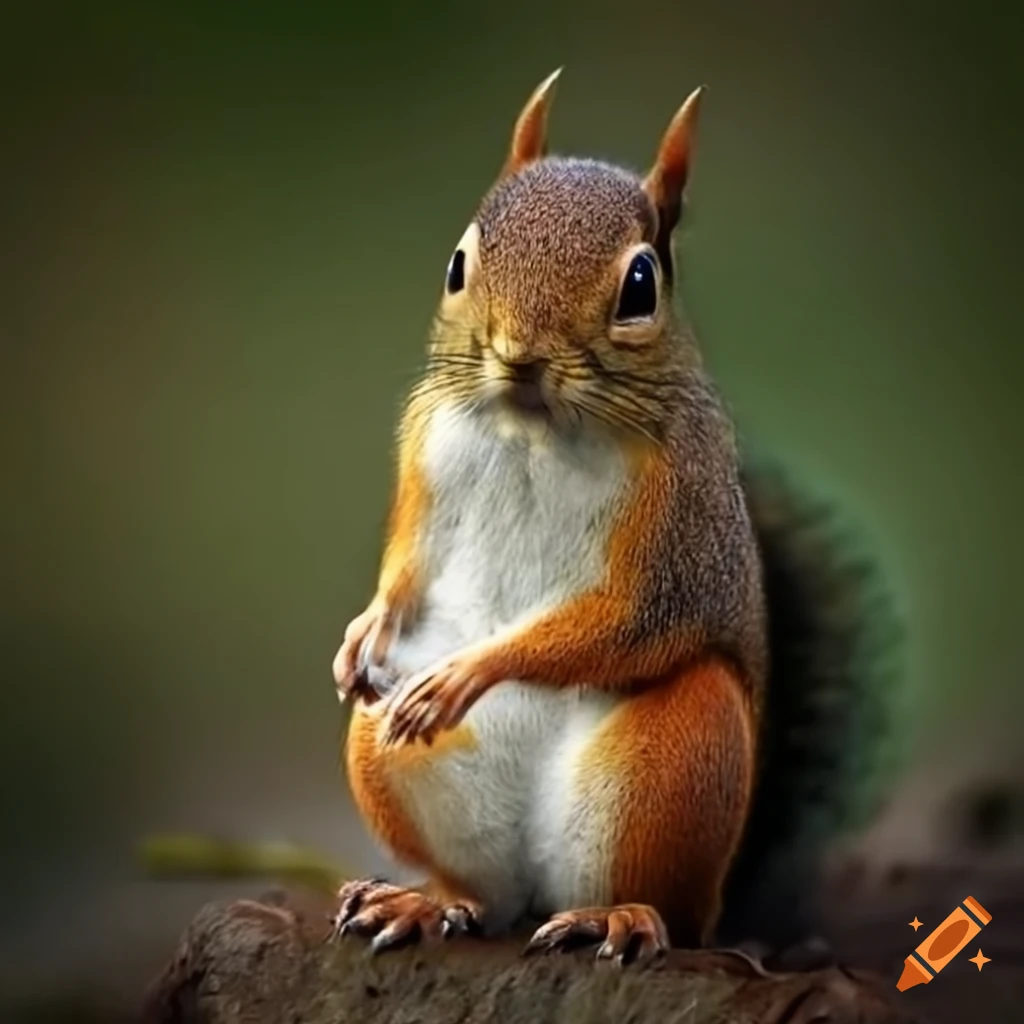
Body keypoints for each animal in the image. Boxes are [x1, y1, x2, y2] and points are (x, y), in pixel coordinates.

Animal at [330, 70, 899, 963]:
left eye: (641, 286)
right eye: (458, 265)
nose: (519, 355)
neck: (533, 429)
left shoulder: (679, 517)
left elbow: (631, 616)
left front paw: (468, 672)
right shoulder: (429, 451)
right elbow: (409, 568)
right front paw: (364, 631)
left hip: (681, 760)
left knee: (657, 901)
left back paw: (617, 916)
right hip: (390, 756)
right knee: (480, 893)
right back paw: (426, 899)